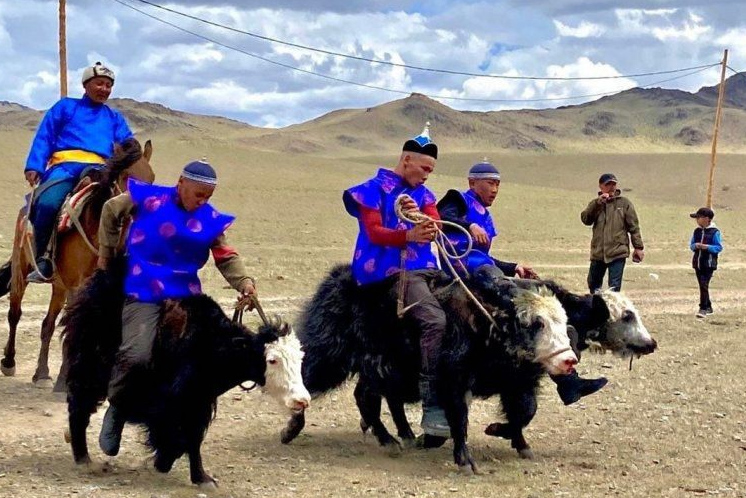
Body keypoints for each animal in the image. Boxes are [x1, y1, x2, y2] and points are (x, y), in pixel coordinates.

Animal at [0, 138, 153, 392]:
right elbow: (73, 329)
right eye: (125, 176)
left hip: (59, 287)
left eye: (151, 177)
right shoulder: (78, 288)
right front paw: (65, 381)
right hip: (22, 271)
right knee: (15, 313)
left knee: (47, 325)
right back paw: (9, 362)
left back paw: (42, 374)